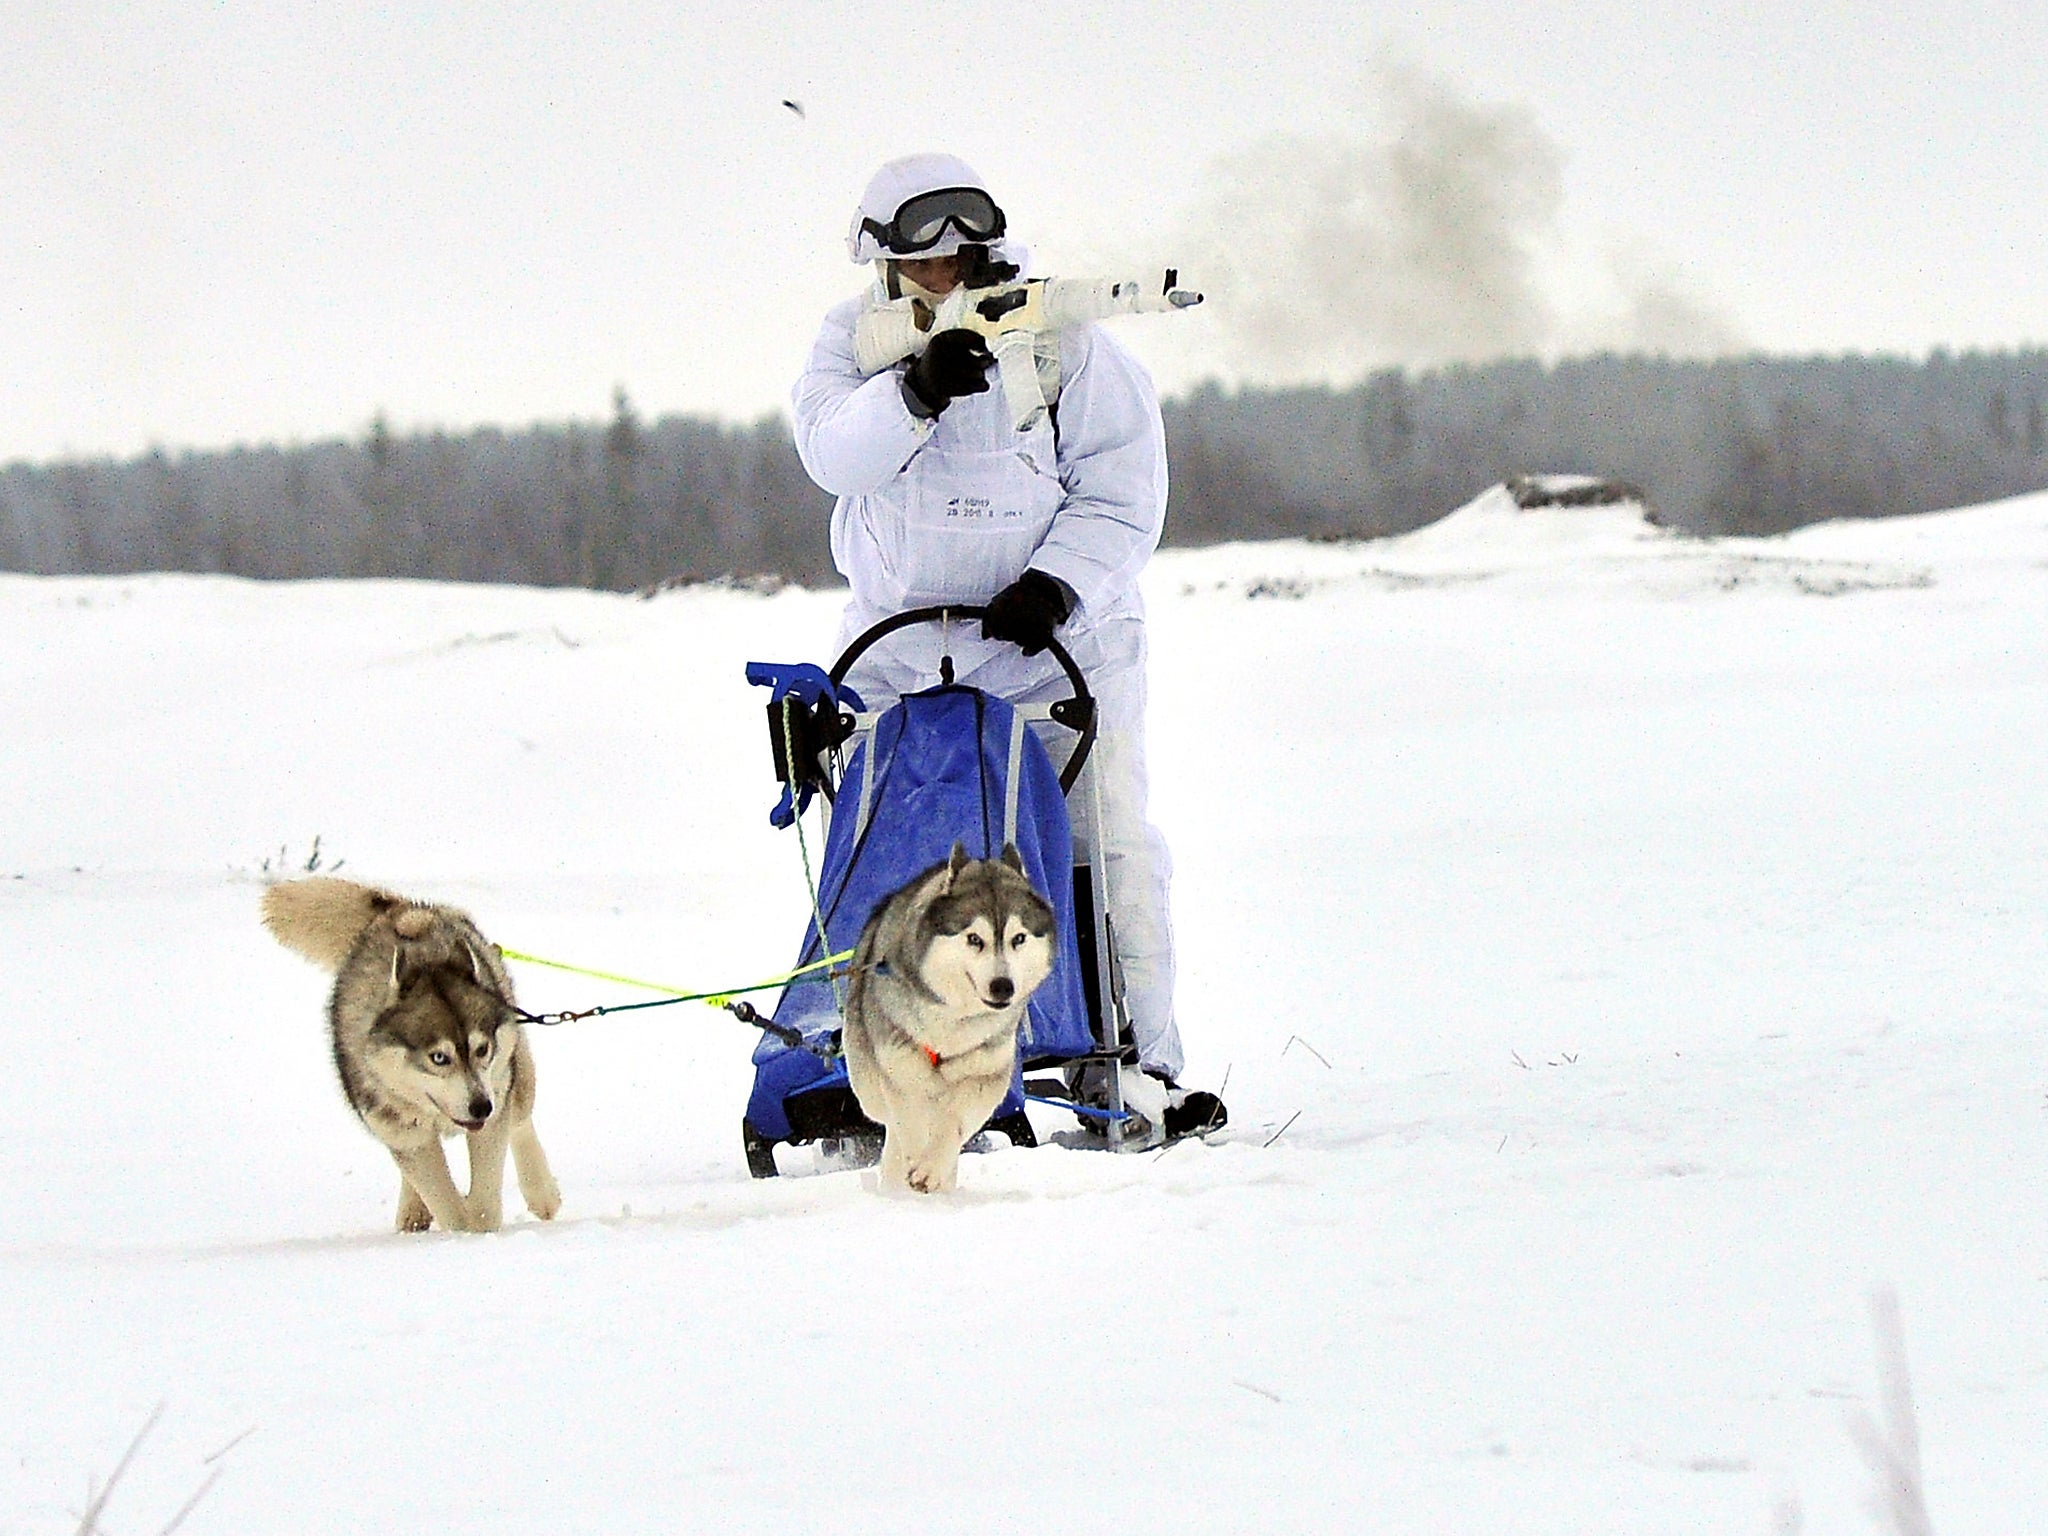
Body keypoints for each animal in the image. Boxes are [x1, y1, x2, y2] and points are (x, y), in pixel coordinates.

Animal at [268, 884, 569, 1236]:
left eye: (482, 1049)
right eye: (439, 1057)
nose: (481, 1107)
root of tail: (405, 910)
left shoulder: (492, 1112)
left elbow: (484, 1196)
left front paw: (480, 1230)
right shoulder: (406, 1135)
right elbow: (442, 1199)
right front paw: (458, 1230)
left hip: (512, 1075)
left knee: (520, 1120)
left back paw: (542, 1193)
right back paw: (414, 1210)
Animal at [839, 847, 1056, 1196]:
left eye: (1019, 938)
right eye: (974, 938)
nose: (1003, 986)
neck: (953, 1023)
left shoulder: (985, 1075)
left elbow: (954, 1124)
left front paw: (931, 1170)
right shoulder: (901, 1067)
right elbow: (908, 1124)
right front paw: (914, 1165)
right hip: (868, 1083)